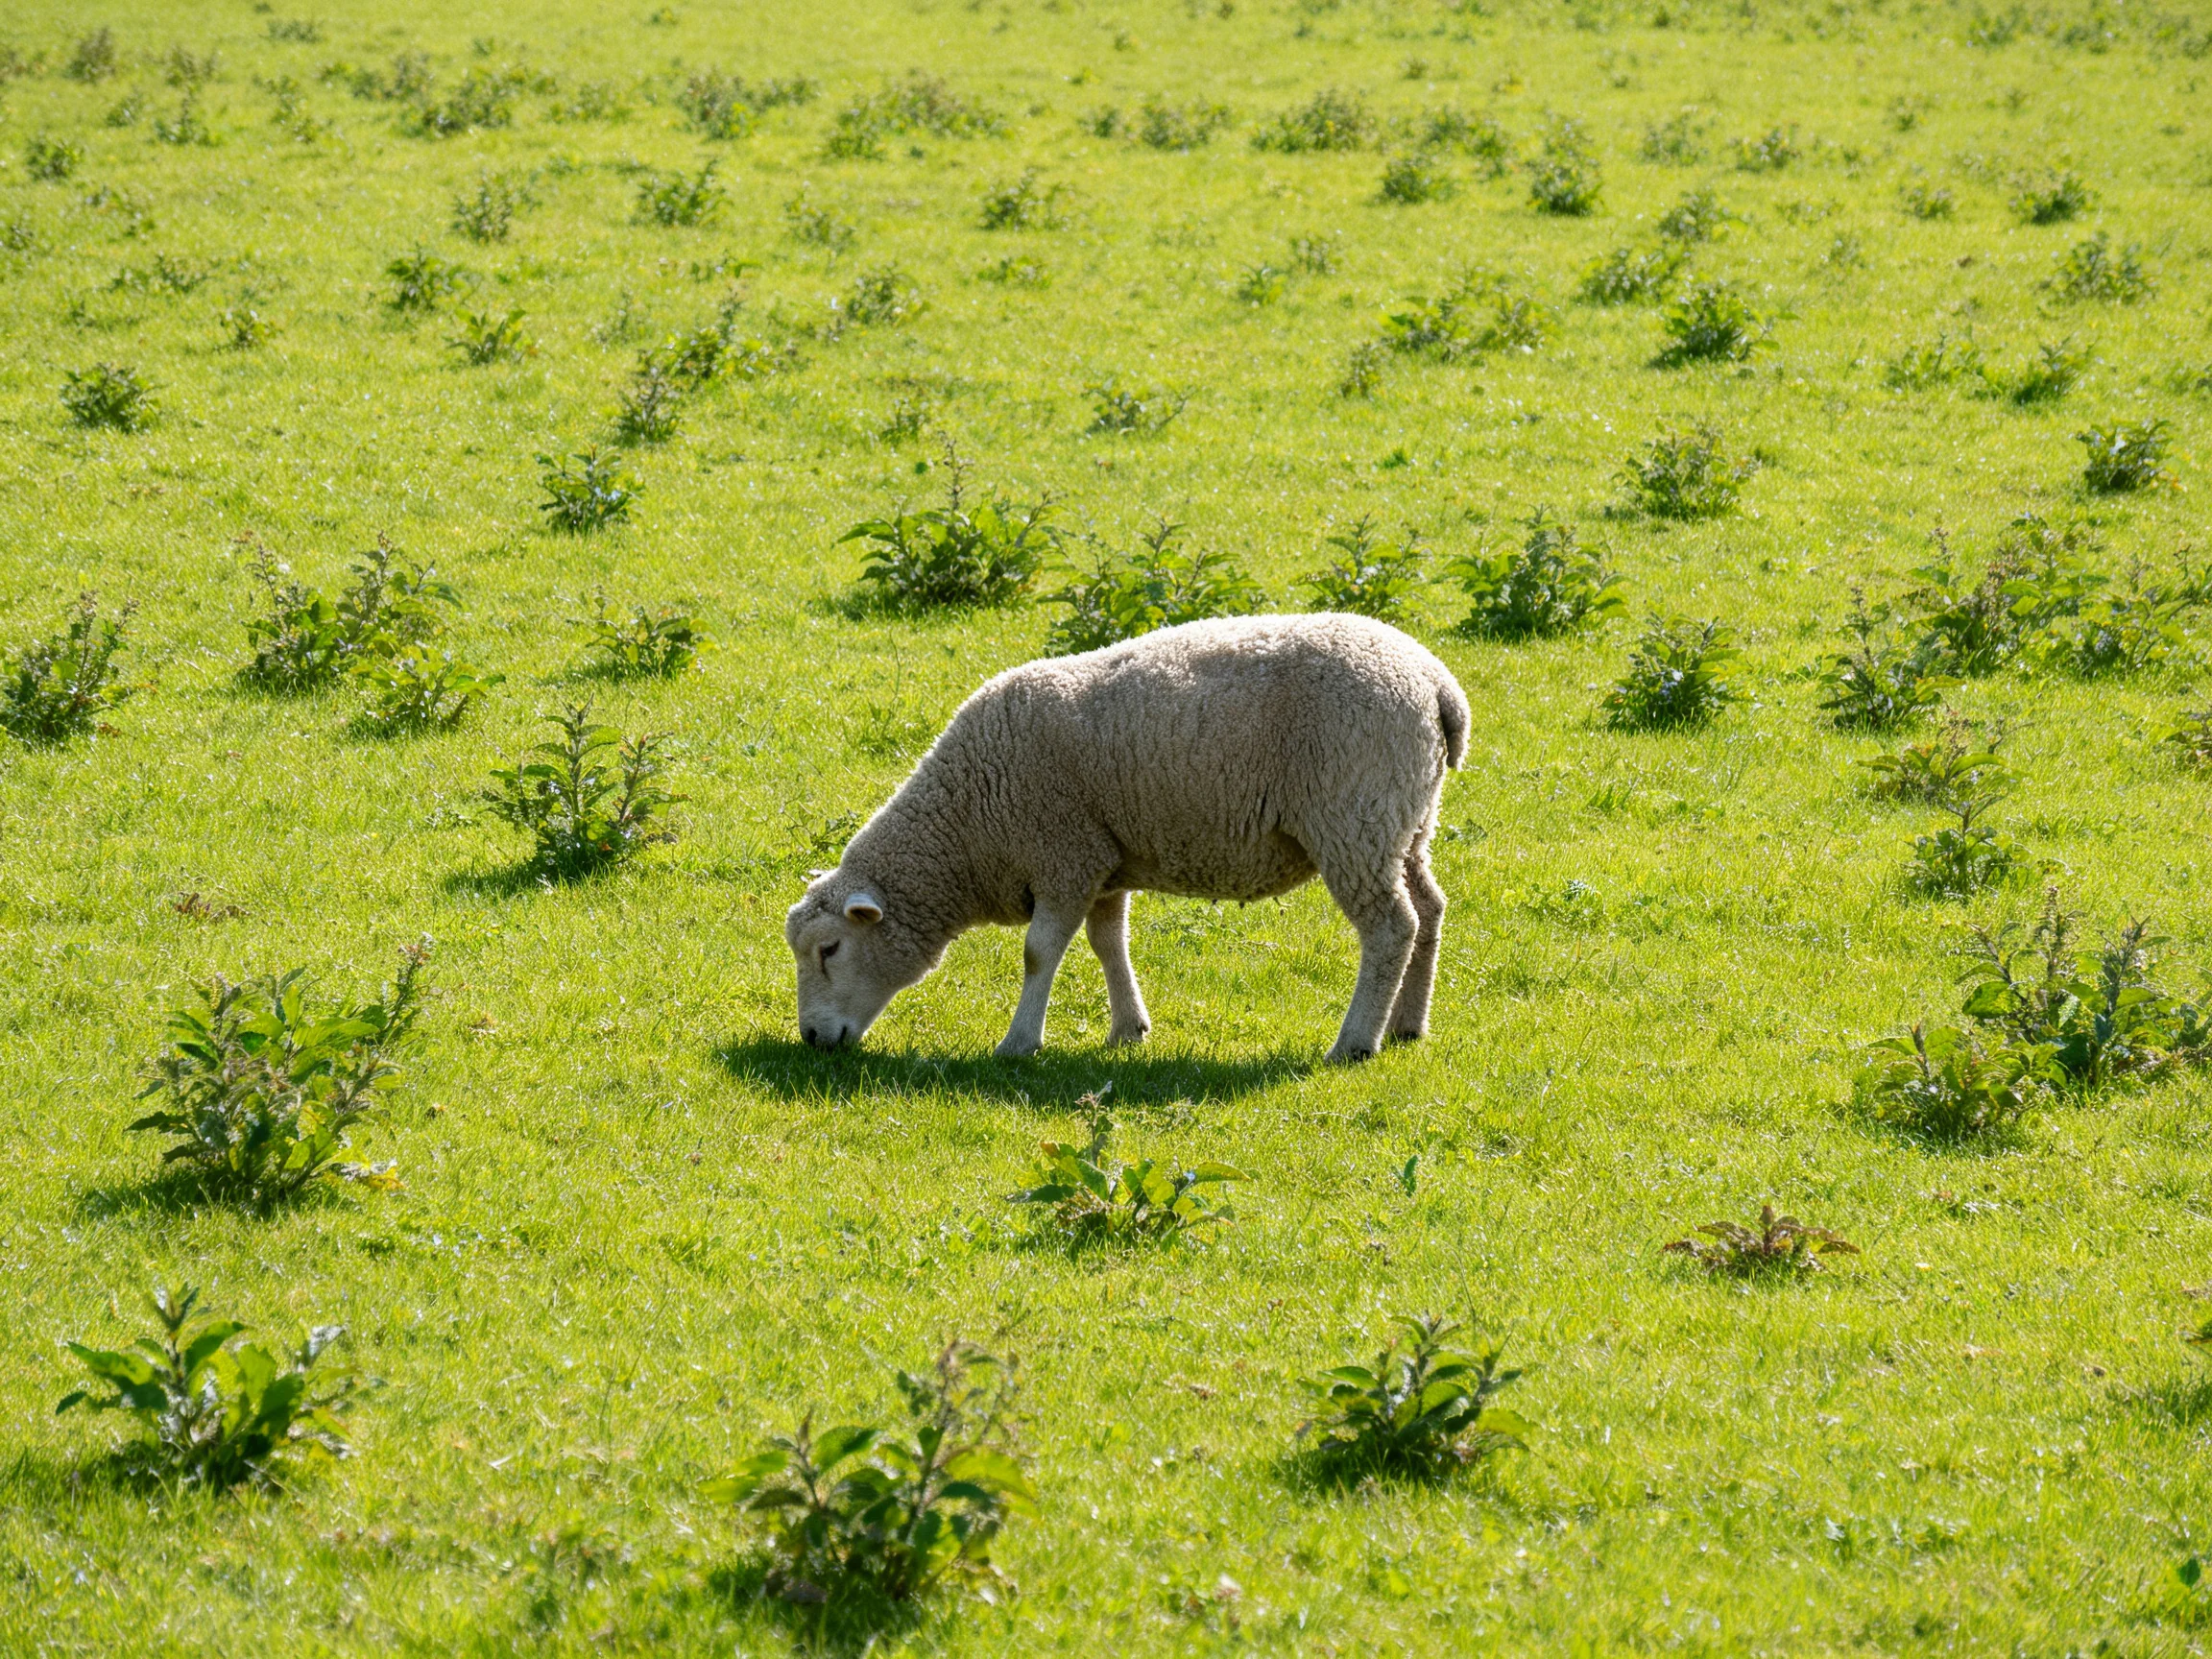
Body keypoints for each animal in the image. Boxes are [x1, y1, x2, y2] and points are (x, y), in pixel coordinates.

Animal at [785, 612, 1469, 1064]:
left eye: (829, 950)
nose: (812, 1039)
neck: (970, 821)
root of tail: (1437, 685)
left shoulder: (1062, 854)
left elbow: (1039, 952)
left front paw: (1018, 1043)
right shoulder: (1101, 859)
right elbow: (1107, 943)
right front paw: (1127, 1029)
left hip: (1354, 818)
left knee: (1391, 927)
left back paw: (1355, 1042)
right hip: (1404, 821)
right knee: (1430, 910)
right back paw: (1408, 1025)